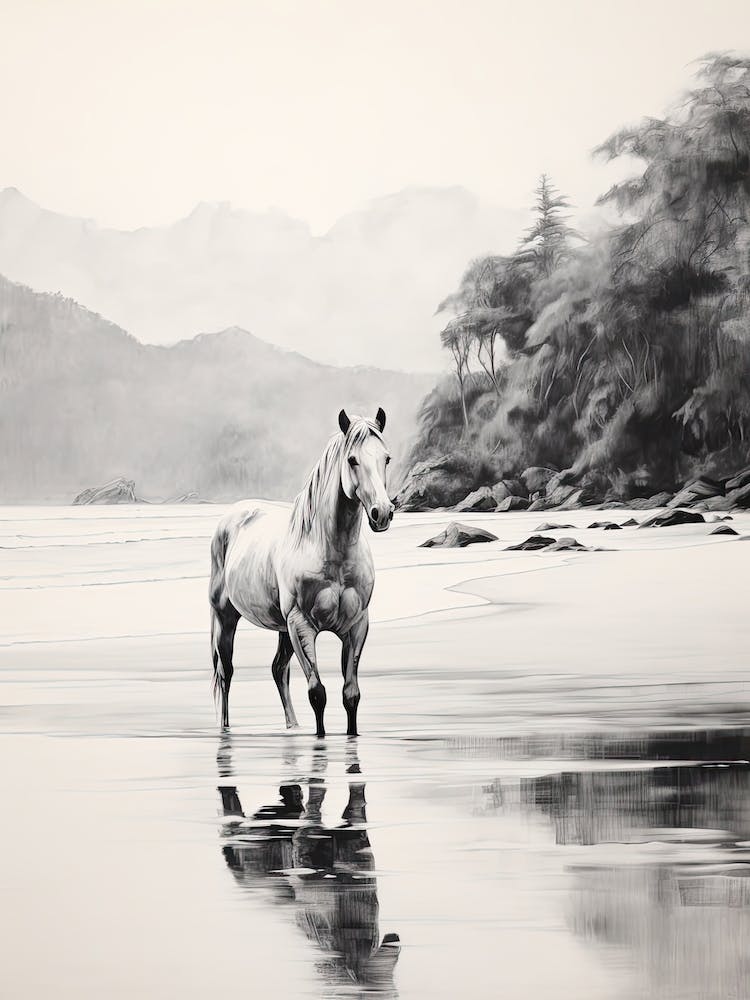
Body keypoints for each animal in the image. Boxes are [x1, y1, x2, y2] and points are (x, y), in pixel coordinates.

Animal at [209, 407, 394, 736]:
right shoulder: (301, 624)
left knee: (278, 669)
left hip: (282, 629)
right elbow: (317, 693)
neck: (330, 552)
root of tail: (232, 516)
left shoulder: (357, 626)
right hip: (226, 619)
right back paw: (225, 728)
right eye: (352, 460)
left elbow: (351, 695)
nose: (382, 513)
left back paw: (292, 726)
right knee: (225, 673)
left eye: (386, 458)